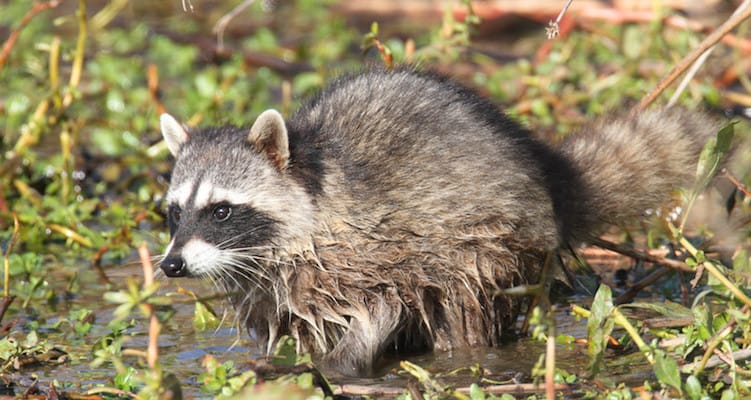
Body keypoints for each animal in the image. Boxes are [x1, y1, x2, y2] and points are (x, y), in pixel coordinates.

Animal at [159, 67, 719, 376]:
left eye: (222, 210)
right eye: (175, 211)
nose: (171, 266)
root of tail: (546, 174)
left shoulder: (373, 249)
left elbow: (381, 306)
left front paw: (338, 365)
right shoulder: (278, 284)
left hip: (488, 241)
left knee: (462, 309)